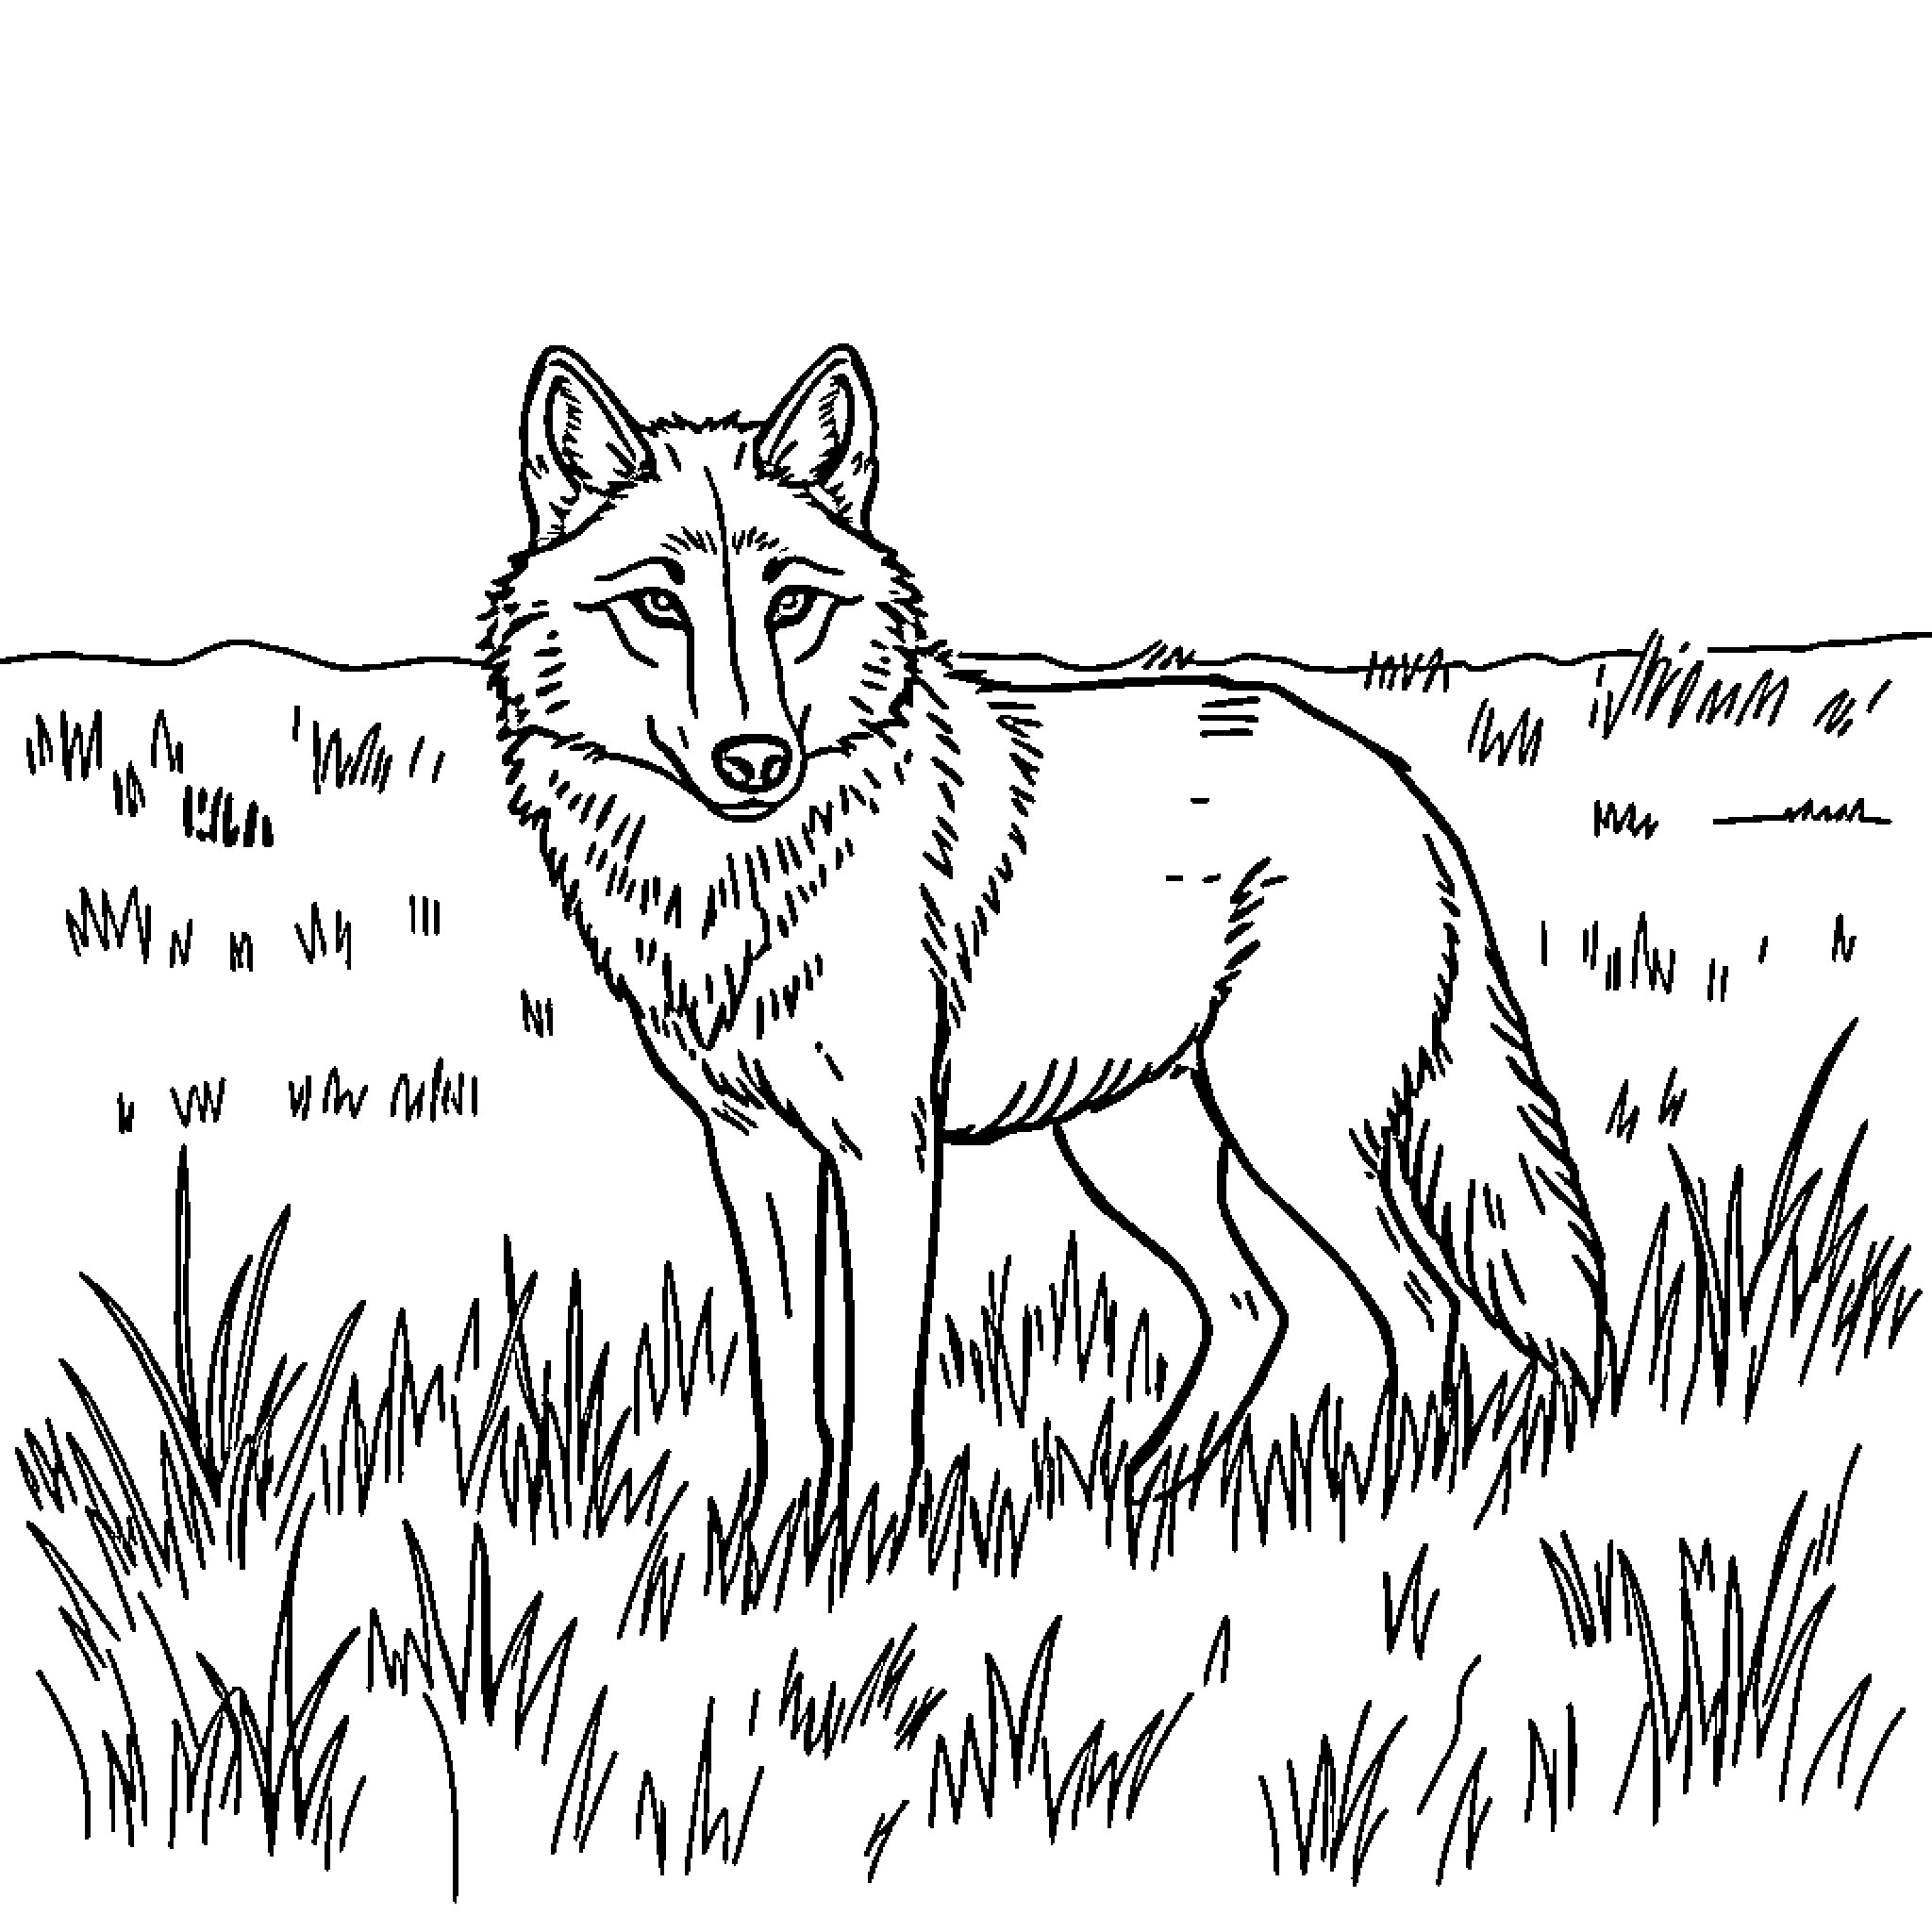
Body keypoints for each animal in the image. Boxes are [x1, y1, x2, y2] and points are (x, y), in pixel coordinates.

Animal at [482, 342, 1609, 1536]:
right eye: (657, 605)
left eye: (790, 603)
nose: (755, 760)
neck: (736, 884)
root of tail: (1400, 784)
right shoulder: (752, 1150)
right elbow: (784, 1373)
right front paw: (770, 1538)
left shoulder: (887, 1148)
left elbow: (880, 1374)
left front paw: (870, 1542)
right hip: (1133, 1150)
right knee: (1252, 1304)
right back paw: (1152, 1484)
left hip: (1288, 1134)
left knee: (1418, 1301)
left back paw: (1381, 1494)